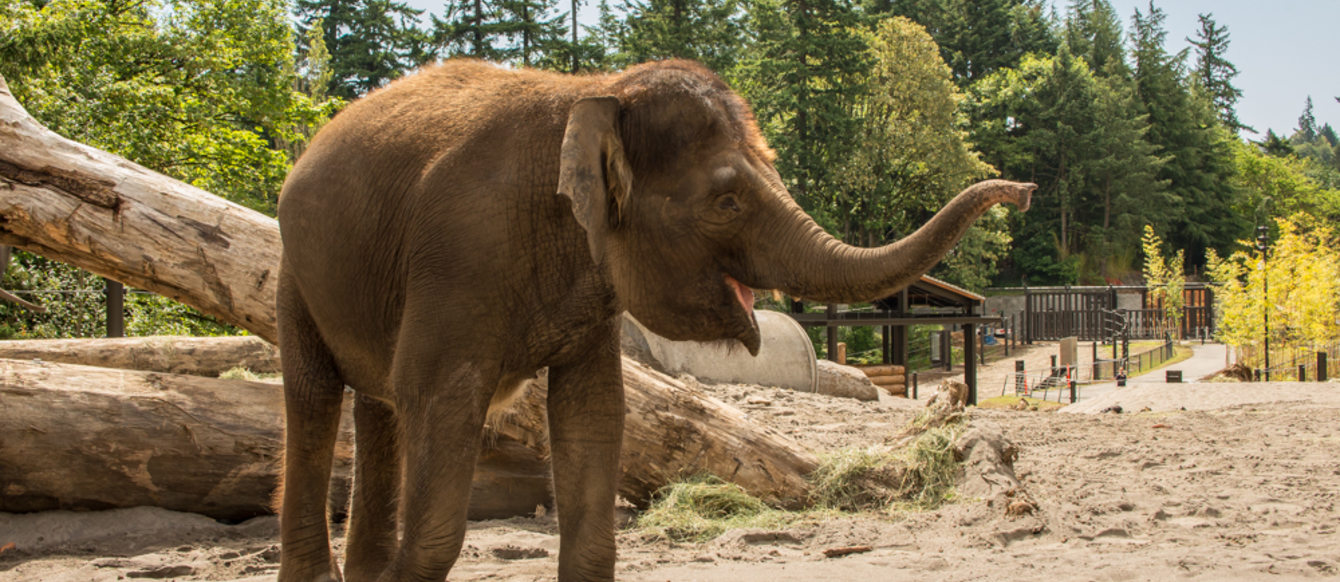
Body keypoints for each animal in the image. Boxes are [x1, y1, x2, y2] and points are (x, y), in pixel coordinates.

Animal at [277, 60, 1034, 582]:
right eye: (727, 201)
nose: (1023, 191)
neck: (592, 90)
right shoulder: (458, 258)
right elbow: (438, 407)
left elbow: (592, 417)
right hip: (294, 272)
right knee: (314, 400)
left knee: (377, 407)